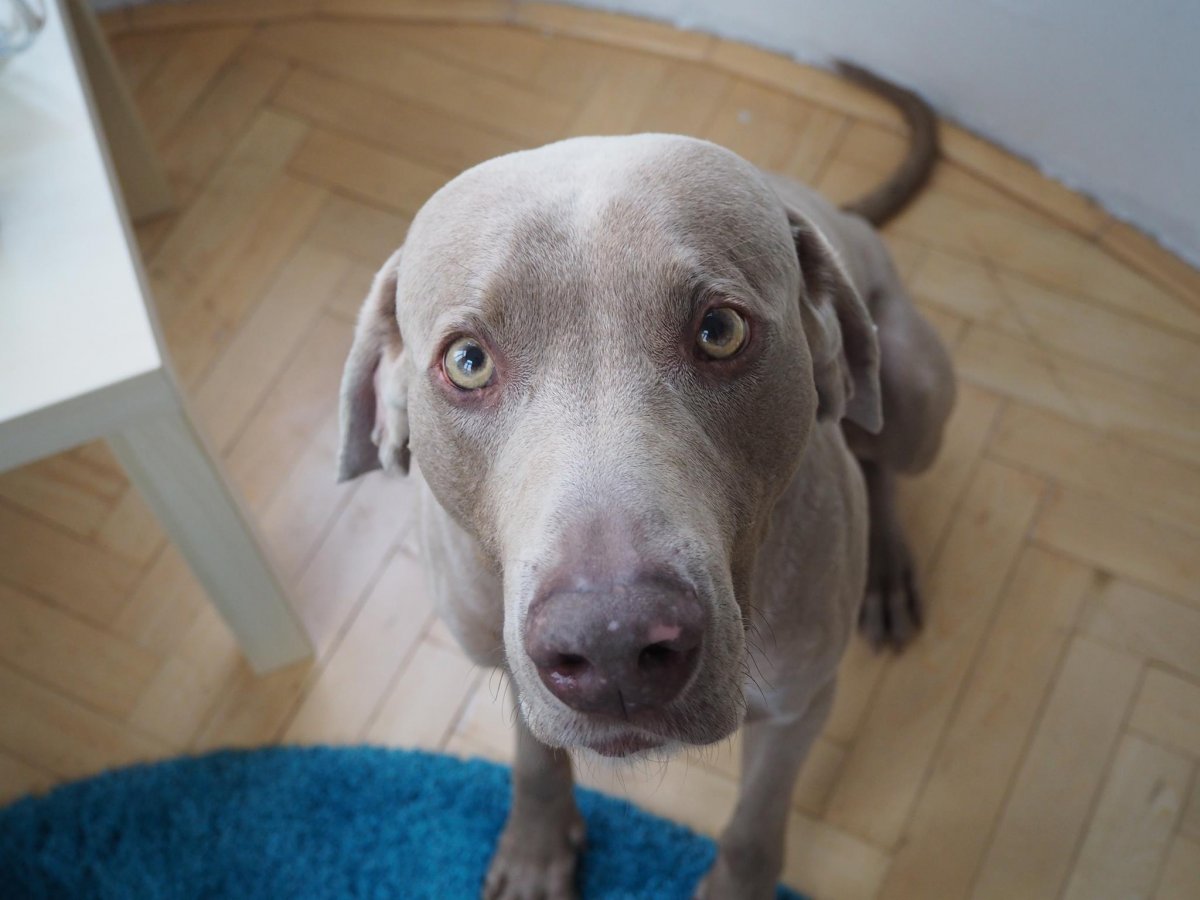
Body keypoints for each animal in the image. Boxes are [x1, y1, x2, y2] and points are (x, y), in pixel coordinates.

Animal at [336, 63, 955, 900]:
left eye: (720, 331)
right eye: (467, 362)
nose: (612, 646)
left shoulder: (800, 703)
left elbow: (755, 827)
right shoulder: (502, 660)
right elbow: (535, 755)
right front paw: (536, 848)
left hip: (915, 390)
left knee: (885, 452)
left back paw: (885, 569)